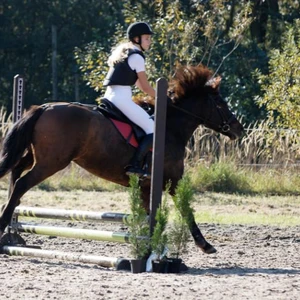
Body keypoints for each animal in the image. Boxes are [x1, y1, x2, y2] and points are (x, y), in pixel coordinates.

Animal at [0, 64, 244, 254]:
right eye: (221, 104)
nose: (238, 129)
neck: (171, 127)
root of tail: (45, 107)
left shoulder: (146, 186)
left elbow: (149, 216)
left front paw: (148, 246)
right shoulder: (172, 180)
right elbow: (185, 208)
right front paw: (205, 244)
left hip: (37, 156)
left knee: (16, 170)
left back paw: (11, 214)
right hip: (52, 162)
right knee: (21, 182)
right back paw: (4, 222)